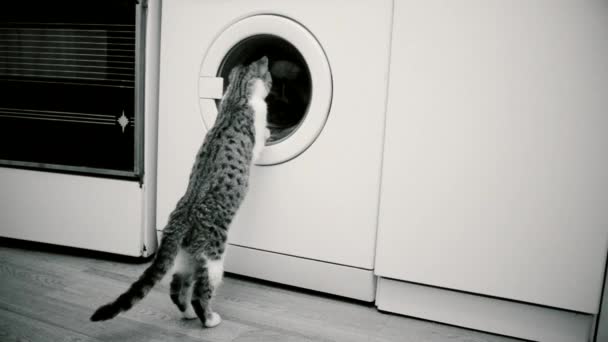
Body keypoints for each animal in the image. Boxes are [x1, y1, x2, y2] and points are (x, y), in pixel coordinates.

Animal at [89, 56, 272, 328]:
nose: (272, 85)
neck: (236, 95)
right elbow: (260, 142)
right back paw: (209, 319)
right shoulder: (255, 133)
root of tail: (181, 219)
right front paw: (269, 132)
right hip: (213, 255)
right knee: (199, 291)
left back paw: (186, 313)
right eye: (269, 78)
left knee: (177, 285)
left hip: (187, 254)